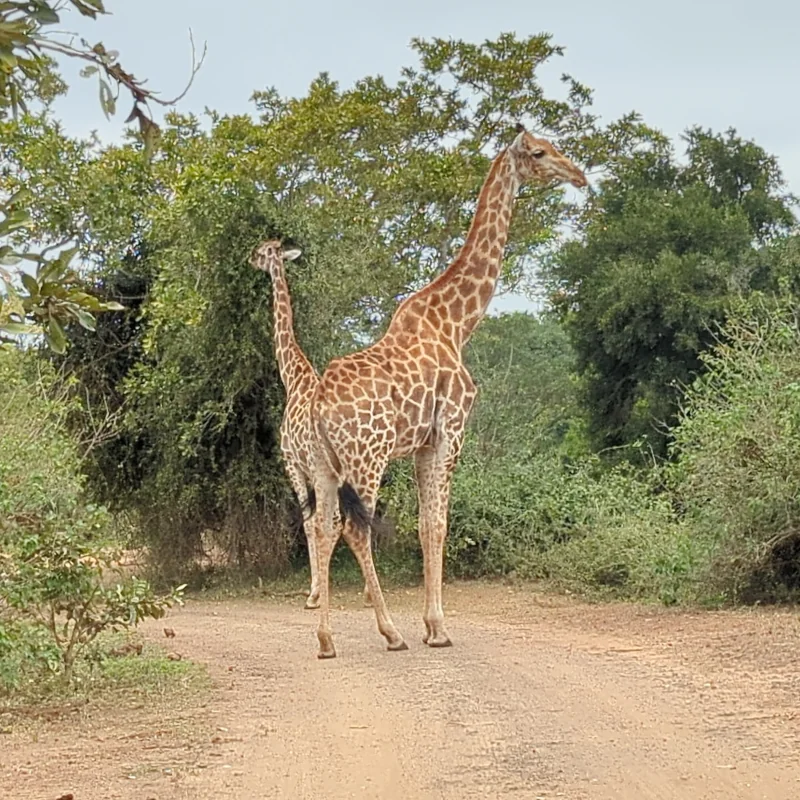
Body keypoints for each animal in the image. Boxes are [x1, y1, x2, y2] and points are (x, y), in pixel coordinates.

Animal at [252, 241, 374, 608]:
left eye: (261, 251)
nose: (249, 259)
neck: (293, 377)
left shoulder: (293, 463)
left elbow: (308, 523)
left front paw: (315, 590)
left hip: (327, 470)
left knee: (329, 520)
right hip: (360, 468)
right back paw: (367, 590)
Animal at [306, 120, 588, 656]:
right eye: (540, 153)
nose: (579, 175)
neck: (457, 323)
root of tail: (318, 406)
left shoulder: (420, 444)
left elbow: (423, 526)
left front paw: (430, 622)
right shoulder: (450, 432)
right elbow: (438, 524)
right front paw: (436, 627)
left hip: (325, 467)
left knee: (323, 528)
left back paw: (327, 638)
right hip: (367, 458)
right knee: (355, 529)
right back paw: (390, 632)